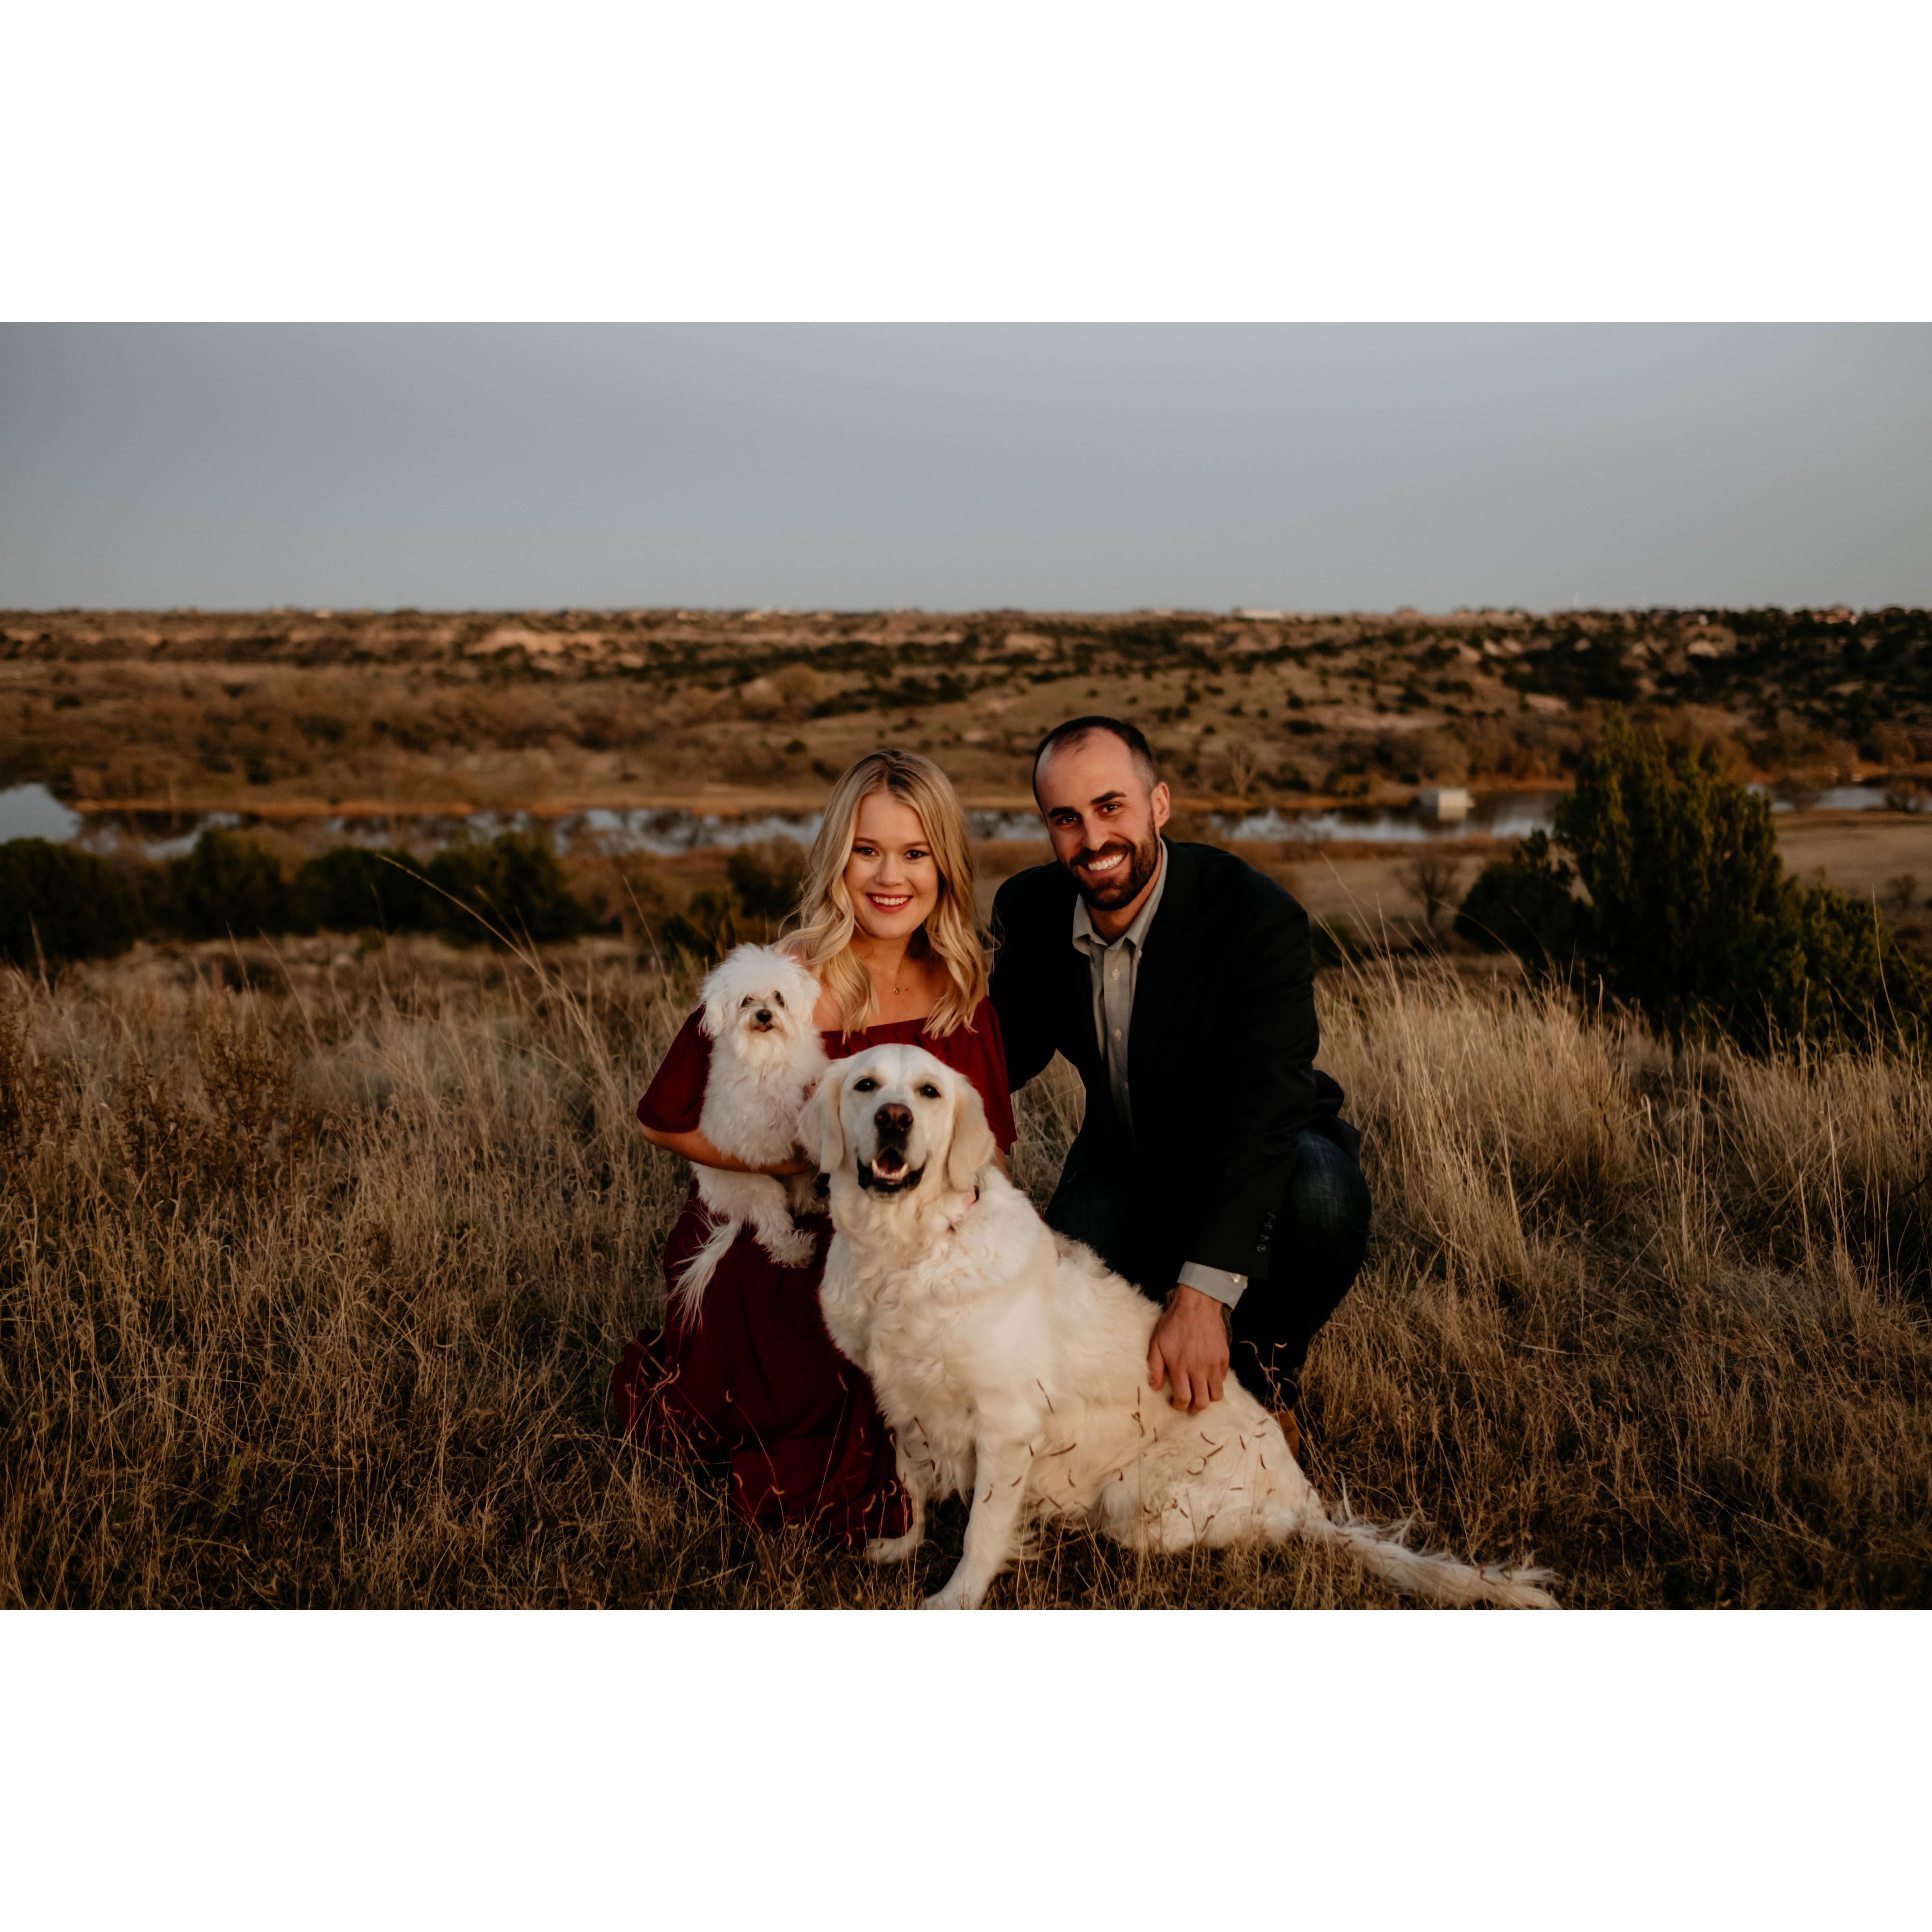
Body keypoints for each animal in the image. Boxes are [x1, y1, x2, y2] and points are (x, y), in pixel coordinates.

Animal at [672, 943, 830, 1318]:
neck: (769, 1054)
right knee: (773, 1228)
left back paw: (813, 1204)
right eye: (747, 1000)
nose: (763, 1015)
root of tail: (734, 1210)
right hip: (761, 1190)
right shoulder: (758, 1130)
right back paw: (795, 1251)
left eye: (779, 997)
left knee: (799, 1199)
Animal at [805, 1042, 1558, 1610]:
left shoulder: (1005, 1424)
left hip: (1138, 1502)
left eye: (929, 1092)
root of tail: (1306, 1500)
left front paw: (954, 1598)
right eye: (866, 1084)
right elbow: (908, 1483)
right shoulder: (899, 1400)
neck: (907, 1251)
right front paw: (898, 1547)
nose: (894, 1118)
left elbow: (982, 1529)